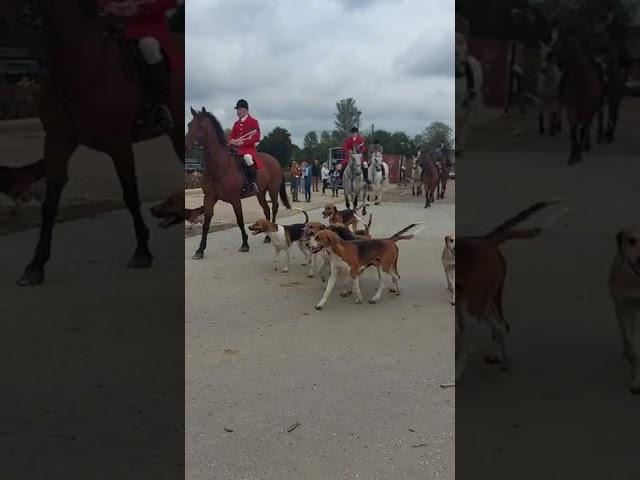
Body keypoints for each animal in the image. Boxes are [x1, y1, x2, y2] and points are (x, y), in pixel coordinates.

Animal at [15, 0, 185, 284]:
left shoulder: (119, 145)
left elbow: (131, 195)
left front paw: (142, 251)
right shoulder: (57, 141)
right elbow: (49, 204)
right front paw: (35, 264)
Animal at [184, 108, 292, 258]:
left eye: (200, 126)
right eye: (189, 124)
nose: (186, 145)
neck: (219, 166)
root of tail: (275, 160)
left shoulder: (235, 199)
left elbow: (240, 220)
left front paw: (245, 244)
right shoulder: (209, 198)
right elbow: (206, 224)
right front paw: (200, 250)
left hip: (273, 190)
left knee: (274, 207)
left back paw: (270, 235)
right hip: (260, 193)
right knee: (266, 209)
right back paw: (266, 236)